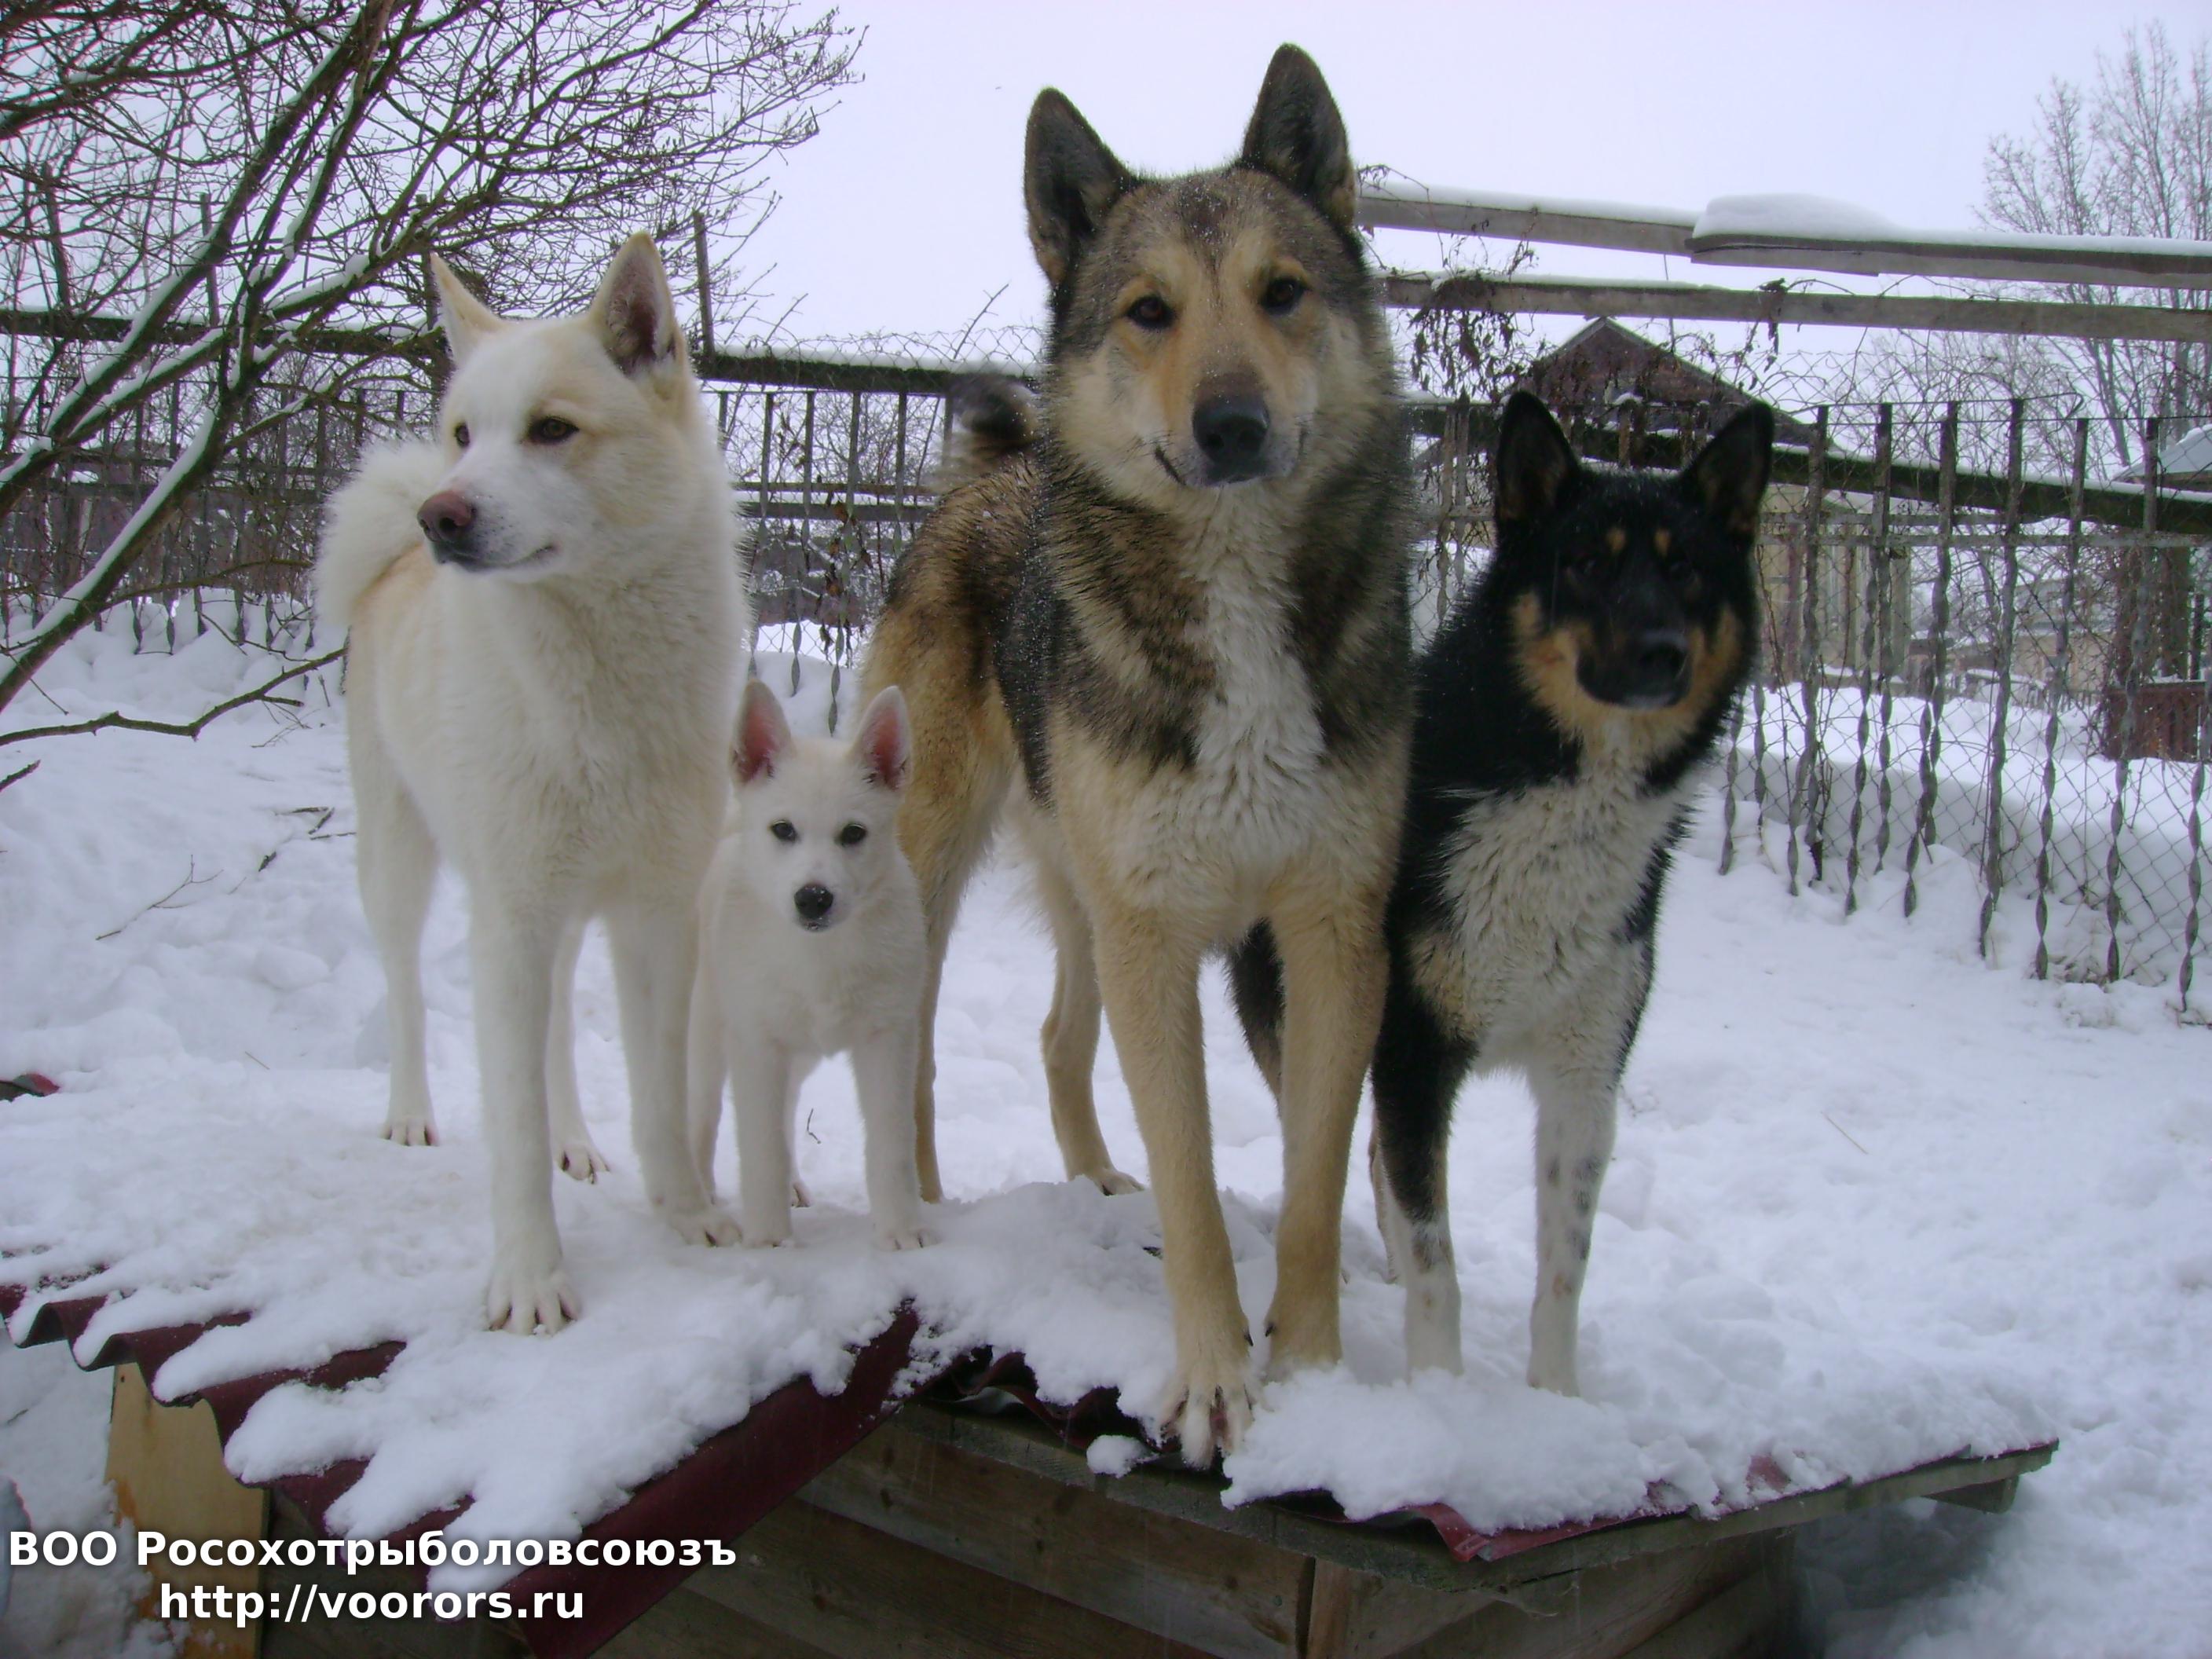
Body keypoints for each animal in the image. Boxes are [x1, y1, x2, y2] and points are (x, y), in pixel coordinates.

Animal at [315, 234, 745, 1333]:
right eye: (465, 433)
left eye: (552, 430)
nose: (442, 515)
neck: (595, 688)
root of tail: (386, 563)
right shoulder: (508, 920)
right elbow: (506, 1126)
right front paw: (529, 1281)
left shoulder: (656, 916)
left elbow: (659, 1095)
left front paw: (686, 1213)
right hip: (403, 865)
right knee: (406, 991)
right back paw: (411, 1116)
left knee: (554, 1025)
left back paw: (575, 1142)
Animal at [686, 680, 930, 1252]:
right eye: (784, 830)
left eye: (854, 834)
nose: (814, 898)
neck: (821, 960)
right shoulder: (756, 1044)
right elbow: (761, 1148)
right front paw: (770, 1241)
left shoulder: (888, 1039)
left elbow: (891, 1144)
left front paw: (900, 1231)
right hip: (712, 1033)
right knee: (705, 1115)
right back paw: (706, 1192)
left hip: (797, 1056)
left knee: (789, 1108)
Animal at [862, 45, 1415, 1463]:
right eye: (1149, 312)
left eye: (1282, 293)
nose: (1231, 425)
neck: (1232, 603)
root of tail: (995, 470)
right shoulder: (1159, 936)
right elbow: (1200, 1192)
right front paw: (1216, 1384)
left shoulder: (1324, 930)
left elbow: (1316, 1182)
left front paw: (1315, 1377)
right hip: (936, 863)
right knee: (915, 1043)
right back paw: (924, 1208)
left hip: (1084, 889)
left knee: (1061, 1034)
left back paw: (1092, 1184)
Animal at [1232, 390, 1773, 1394]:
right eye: (1584, 562)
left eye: (1684, 570)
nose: (1659, 653)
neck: (1559, 795)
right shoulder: (1413, 1051)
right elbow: (1436, 1260)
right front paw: (1440, 1396)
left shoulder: (1584, 1076)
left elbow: (1562, 1267)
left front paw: (1553, 1404)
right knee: (1317, 1147)